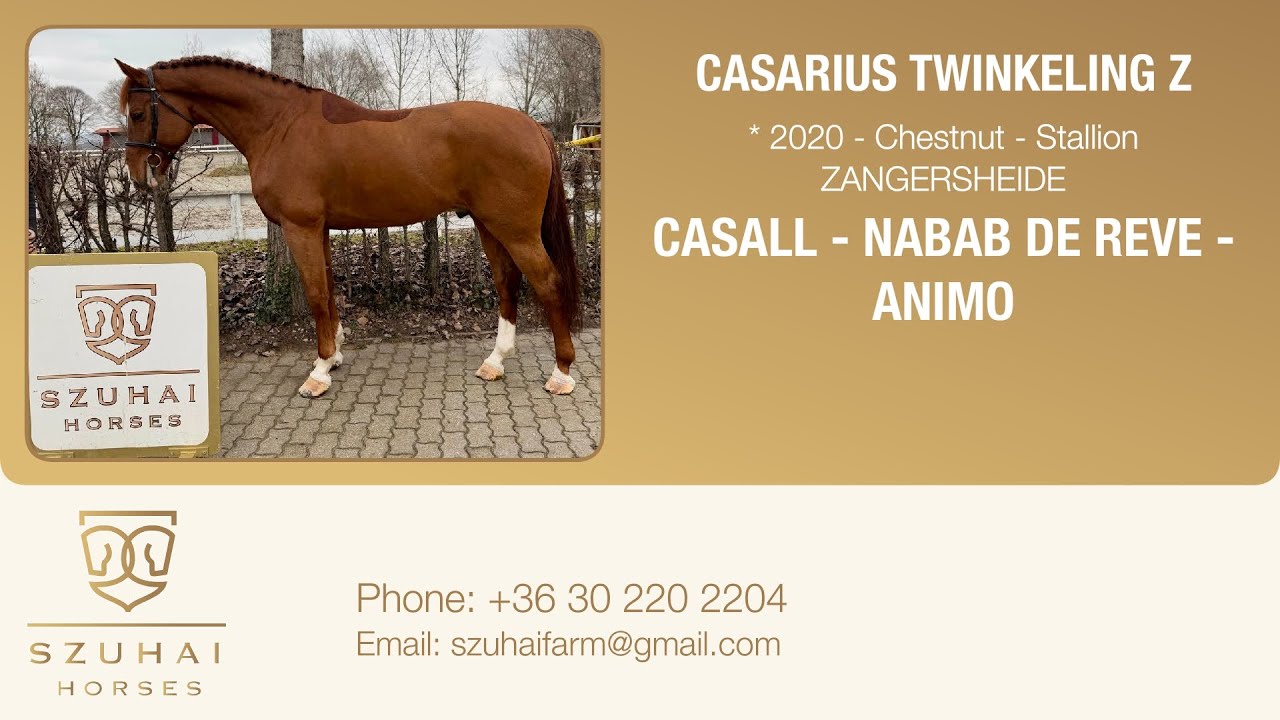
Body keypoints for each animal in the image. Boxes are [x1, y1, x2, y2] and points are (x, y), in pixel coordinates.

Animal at [114, 56, 582, 398]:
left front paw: (319, 371)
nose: (138, 175)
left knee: (547, 282)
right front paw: (335, 355)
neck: (280, 125)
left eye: (136, 113)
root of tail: (533, 126)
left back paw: (561, 373)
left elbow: (316, 294)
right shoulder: (318, 229)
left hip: (516, 230)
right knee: (507, 282)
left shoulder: (300, 227)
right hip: (490, 224)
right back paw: (495, 362)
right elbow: (329, 287)